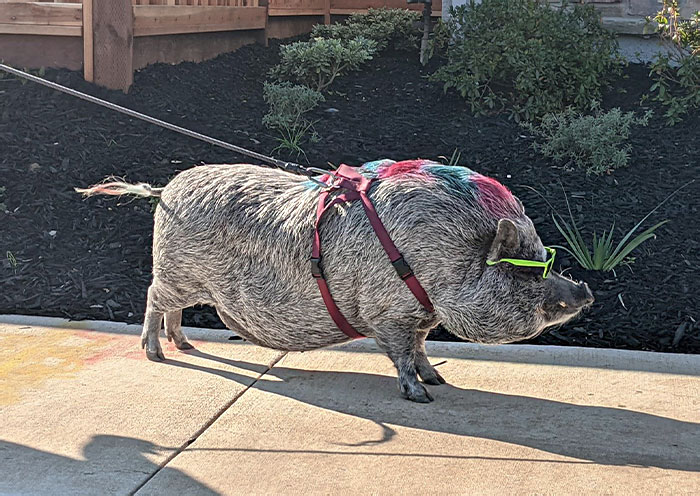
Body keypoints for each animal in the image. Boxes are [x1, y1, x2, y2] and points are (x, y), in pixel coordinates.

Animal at [77, 159, 593, 403]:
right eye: (523, 268)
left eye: (544, 258)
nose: (584, 291)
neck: (442, 257)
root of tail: (165, 189)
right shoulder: (388, 314)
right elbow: (401, 356)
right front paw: (422, 396)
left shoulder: (418, 316)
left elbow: (421, 350)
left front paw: (439, 381)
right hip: (174, 272)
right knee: (152, 298)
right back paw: (158, 354)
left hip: (186, 279)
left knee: (173, 311)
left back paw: (183, 346)